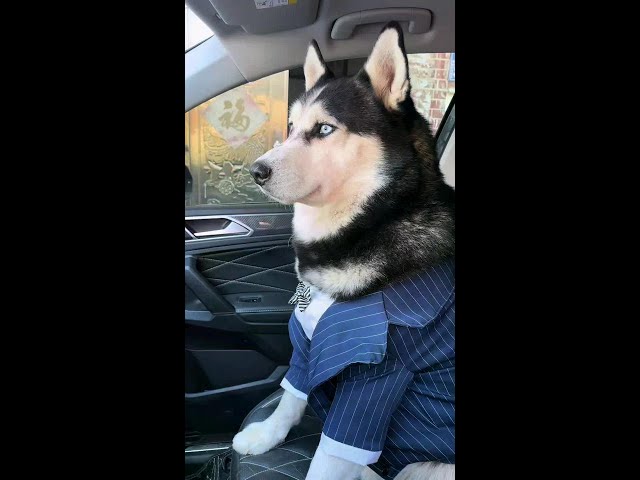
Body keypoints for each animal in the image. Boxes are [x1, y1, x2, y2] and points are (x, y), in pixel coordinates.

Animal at [235, 23, 456, 480]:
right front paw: (264, 436)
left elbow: (329, 456)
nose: (256, 171)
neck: (371, 224)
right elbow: (291, 398)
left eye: (323, 129)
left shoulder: (380, 373)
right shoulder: (308, 342)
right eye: (291, 126)